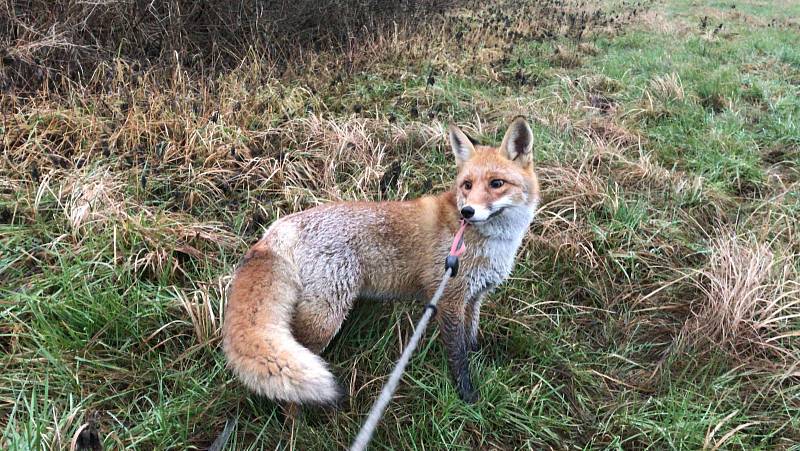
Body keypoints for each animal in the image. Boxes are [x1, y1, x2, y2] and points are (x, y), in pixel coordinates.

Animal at [222, 116, 540, 406]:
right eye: (467, 185)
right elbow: (457, 355)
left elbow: (470, 339)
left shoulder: (474, 297)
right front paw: (468, 397)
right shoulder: (449, 298)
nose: (467, 212)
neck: (490, 243)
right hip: (325, 317)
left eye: (497, 184)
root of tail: (279, 227)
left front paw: (477, 359)